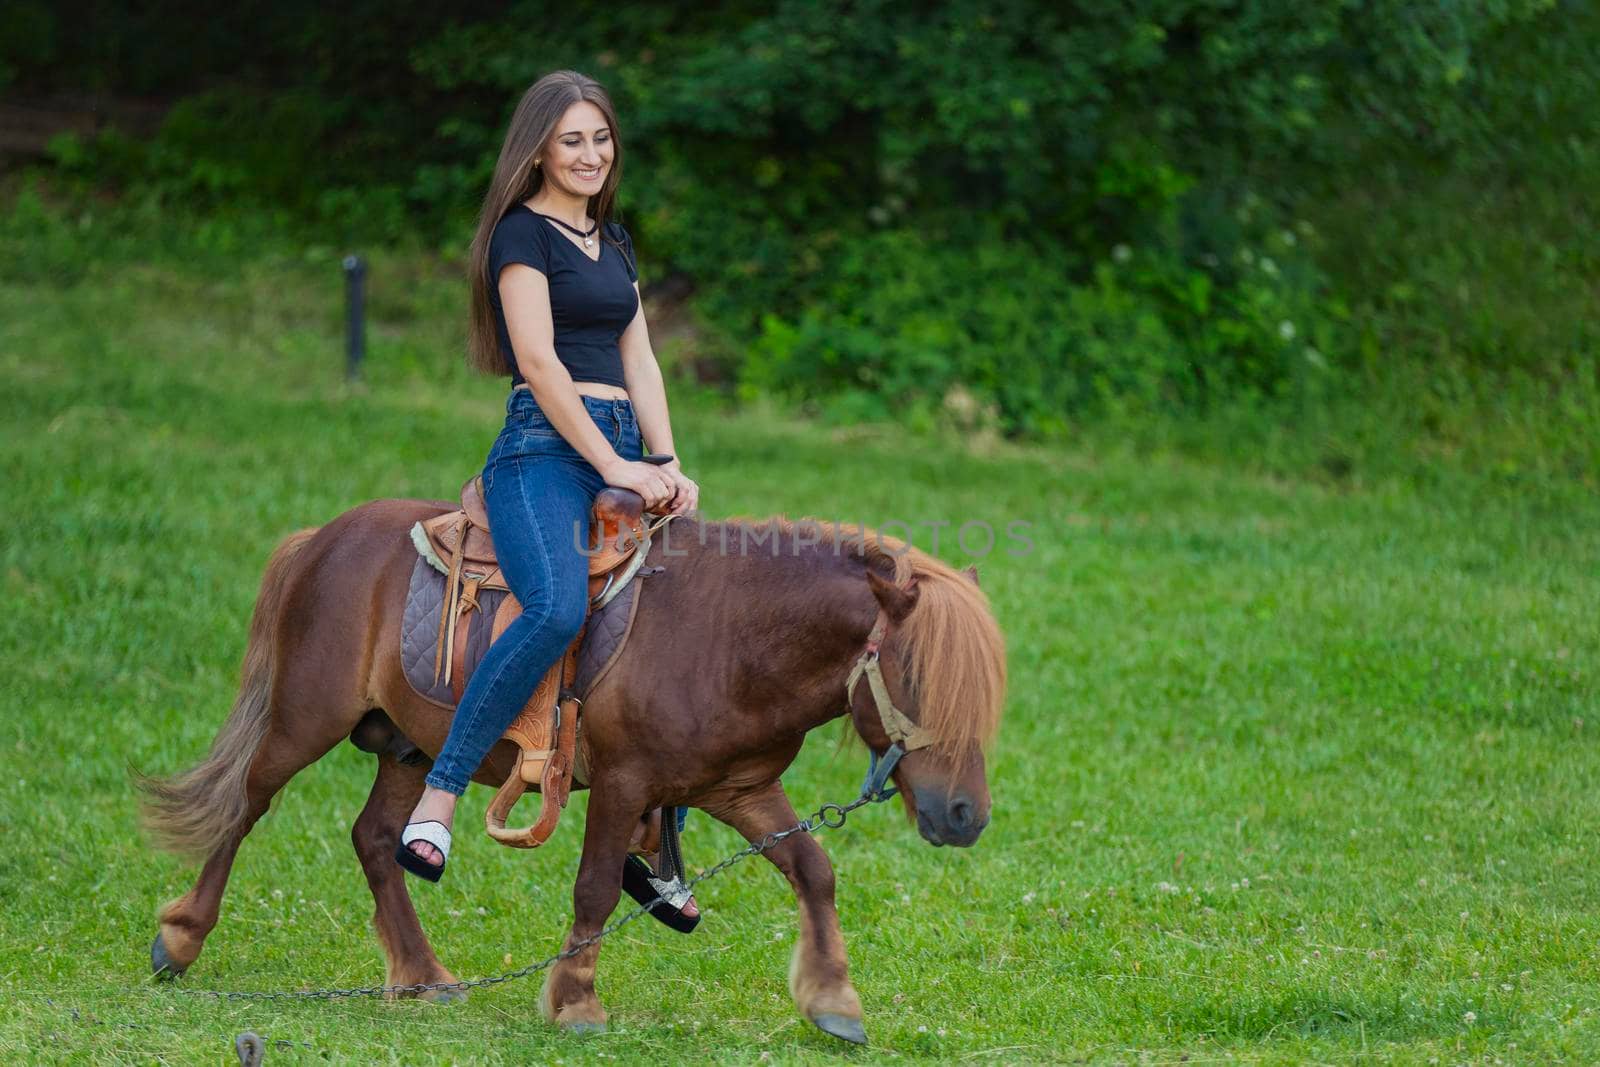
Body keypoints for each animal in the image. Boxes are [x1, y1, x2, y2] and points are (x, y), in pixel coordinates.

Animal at [144, 499, 1004, 1043]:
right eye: (917, 677)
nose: (967, 816)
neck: (727, 637)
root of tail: (324, 535)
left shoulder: (742, 789)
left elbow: (814, 869)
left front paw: (834, 1000)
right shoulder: (624, 783)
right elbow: (593, 887)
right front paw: (574, 1001)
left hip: (410, 744)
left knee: (376, 837)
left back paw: (420, 972)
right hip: (304, 718)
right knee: (244, 805)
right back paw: (180, 940)